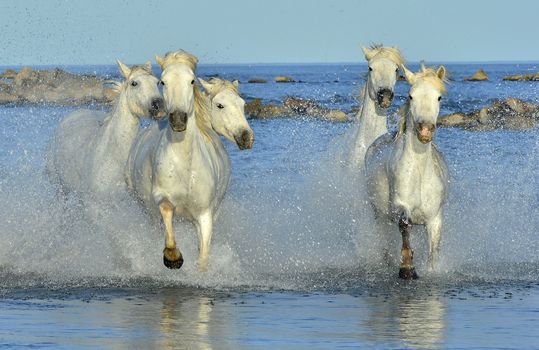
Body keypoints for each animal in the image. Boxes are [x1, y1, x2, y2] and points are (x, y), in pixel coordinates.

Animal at [125, 51, 254, 270]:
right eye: (163, 81)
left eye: (191, 80)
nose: (246, 137)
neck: (184, 163)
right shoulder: (161, 198)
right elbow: (167, 209)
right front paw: (172, 257)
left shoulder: (205, 215)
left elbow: (203, 255)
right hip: (148, 212)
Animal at [364, 65, 450, 278]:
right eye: (411, 96)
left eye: (439, 97)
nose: (425, 130)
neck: (419, 171)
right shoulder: (400, 207)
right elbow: (404, 227)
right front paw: (407, 269)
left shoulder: (435, 219)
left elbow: (433, 252)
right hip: (379, 215)